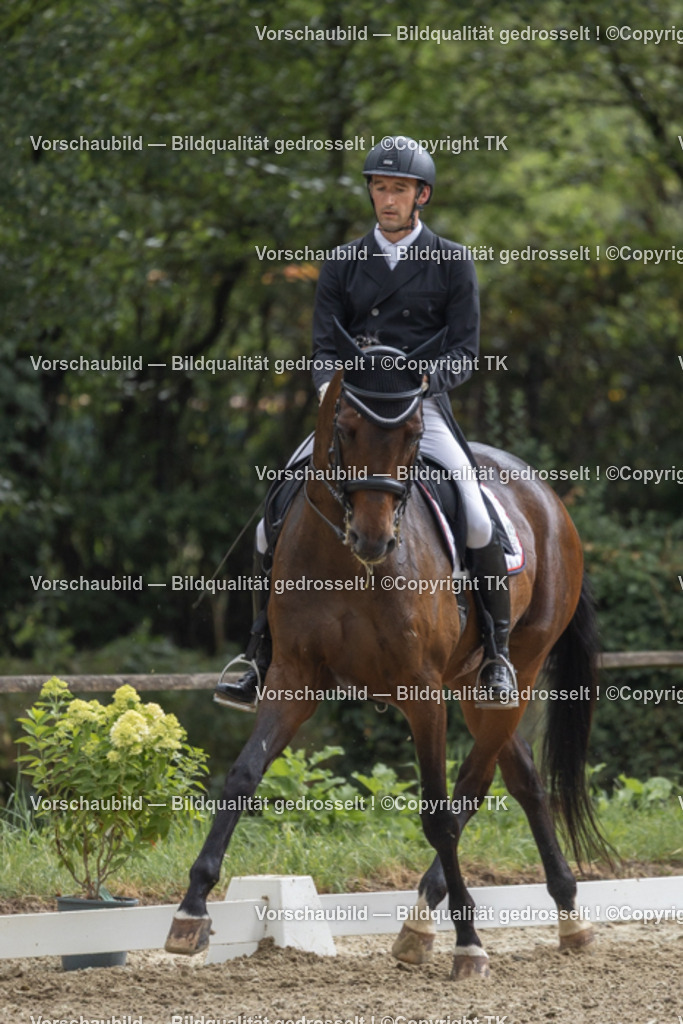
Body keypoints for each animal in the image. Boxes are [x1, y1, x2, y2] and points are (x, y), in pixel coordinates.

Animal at [165, 323, 605, 980]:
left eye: (414, 434)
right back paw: (564, 917)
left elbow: (439, 813)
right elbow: (242, 775)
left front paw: (468, 943)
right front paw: (191, 911)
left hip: (517, 670)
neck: (347, 562)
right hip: (470, 684)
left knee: (475, 785)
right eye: (346, 429)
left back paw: (430, 923)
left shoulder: (422, 694)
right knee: (522, 777)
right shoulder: (294, 678)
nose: (374, 539)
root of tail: (548, 495)